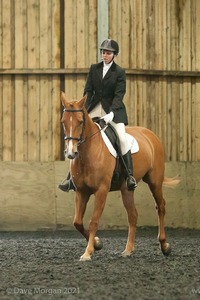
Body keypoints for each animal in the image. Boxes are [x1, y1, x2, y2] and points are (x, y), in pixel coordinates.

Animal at [60, 92, 179, 262]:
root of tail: (150, 134)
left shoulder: (101, 190)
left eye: (81, 122)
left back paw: (165, 246)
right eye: (63, 122)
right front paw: (97, 244)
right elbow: (77, 221)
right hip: (126, 189)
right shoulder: (81, 191)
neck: (88, 152)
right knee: (133, 215)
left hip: (155, 181)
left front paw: (88, 252)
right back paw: (128, 250)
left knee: (160, 206)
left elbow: (93, 221)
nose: (71, 153)